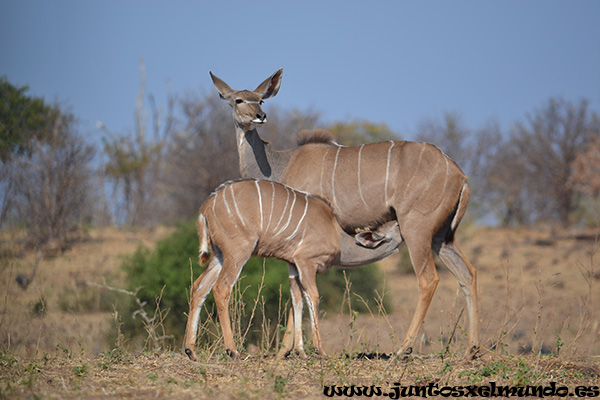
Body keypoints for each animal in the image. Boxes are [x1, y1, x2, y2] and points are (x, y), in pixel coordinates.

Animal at [183, 180, 398, 360]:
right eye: (397, 225)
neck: (336, 234)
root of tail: (206, 207)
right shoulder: (306, 262)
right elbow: (313, 296)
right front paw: (320, 351)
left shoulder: (293, 265)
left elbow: (297, 299)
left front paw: (300, 351)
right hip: (237, 252)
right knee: (221, 288)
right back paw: (232, 350)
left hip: (219, 255)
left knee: (199, 287)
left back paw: (191, 350)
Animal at [209, 69, 480, 356]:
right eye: (238, 100)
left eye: (261, 100)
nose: (259, 116)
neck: (281, 164)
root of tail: (460, 175)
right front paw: (288, 351)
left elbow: (298, 289)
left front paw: (289, 350)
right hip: (441, 237)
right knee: (468, 274)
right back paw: (471, 349)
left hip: (416, 229)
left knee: (428, 279)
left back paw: (403, 350)